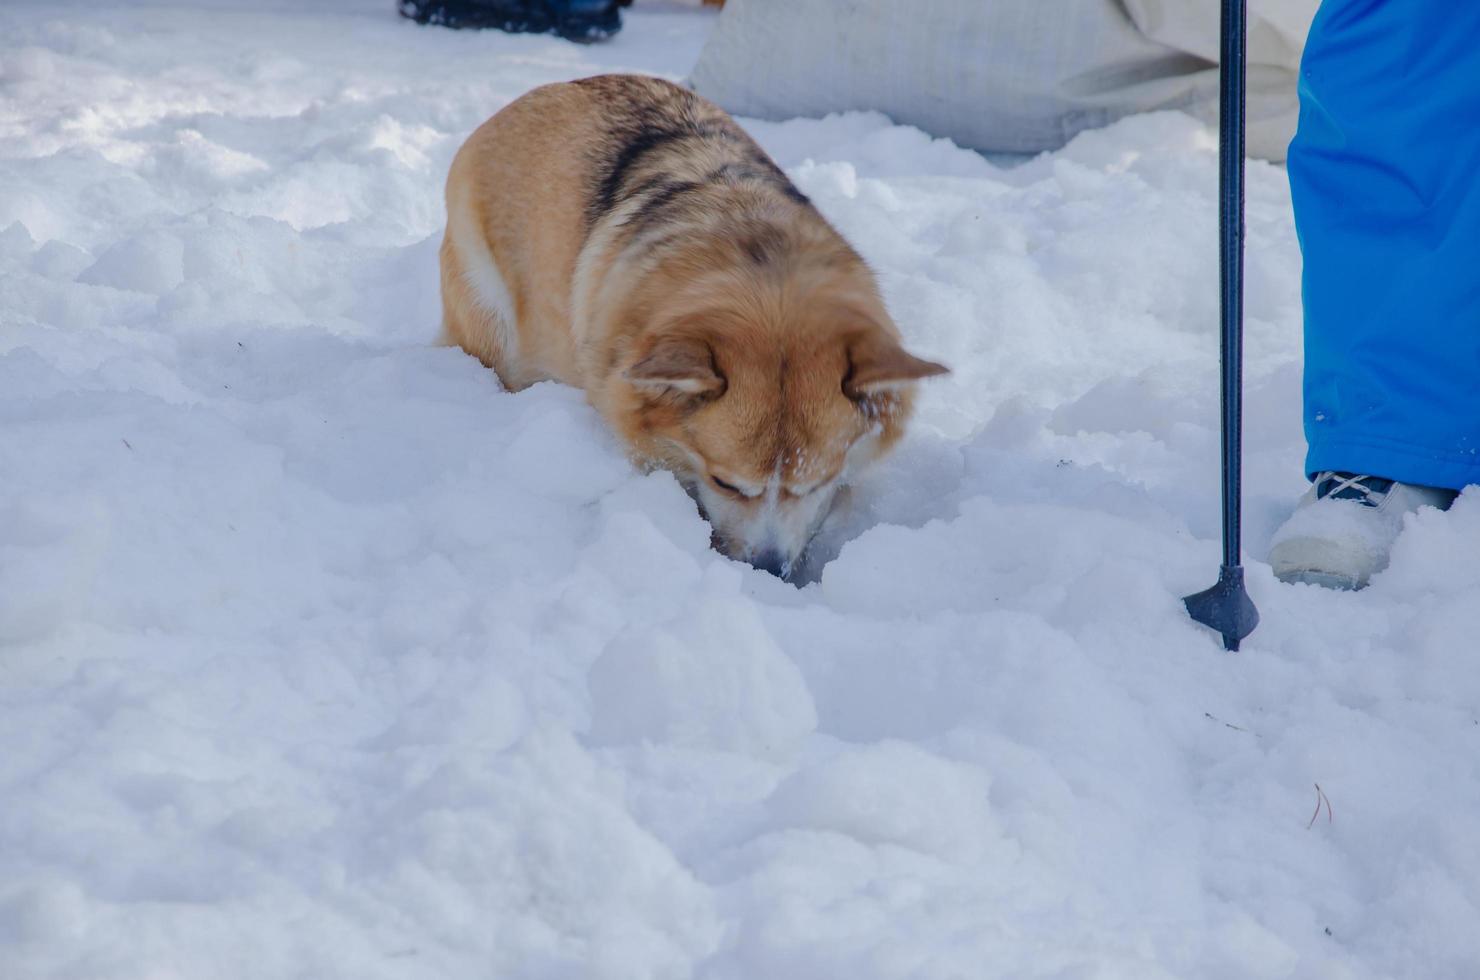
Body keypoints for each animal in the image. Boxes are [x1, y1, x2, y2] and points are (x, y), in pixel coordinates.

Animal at [438, 78, 947, 583]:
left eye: (814, 483)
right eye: (725, 482)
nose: (768, 570)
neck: (766, 276)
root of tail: (533, 95)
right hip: (495, 318)